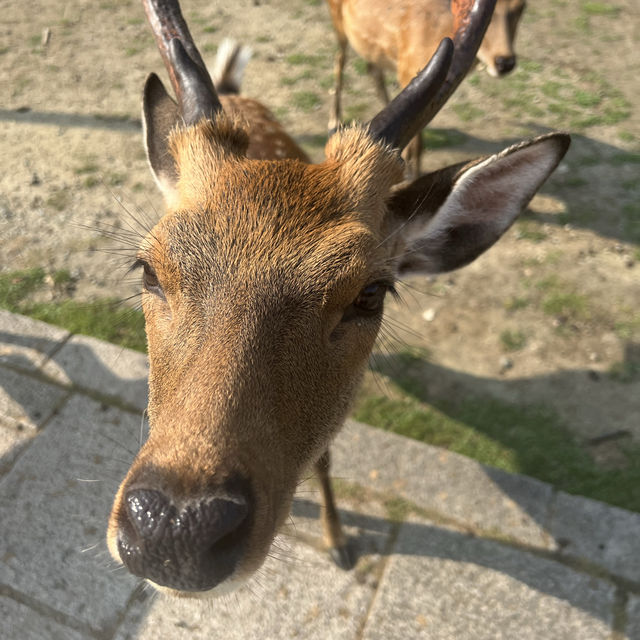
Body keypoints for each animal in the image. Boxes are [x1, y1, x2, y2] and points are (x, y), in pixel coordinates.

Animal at [328, 0, 528, 176]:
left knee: (372, 68)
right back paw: (334, 121)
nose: (505, 62)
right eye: (491, 15)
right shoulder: (407, 71)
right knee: (339, 60)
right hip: (338, 22)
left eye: (520, 6)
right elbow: (417, 146)